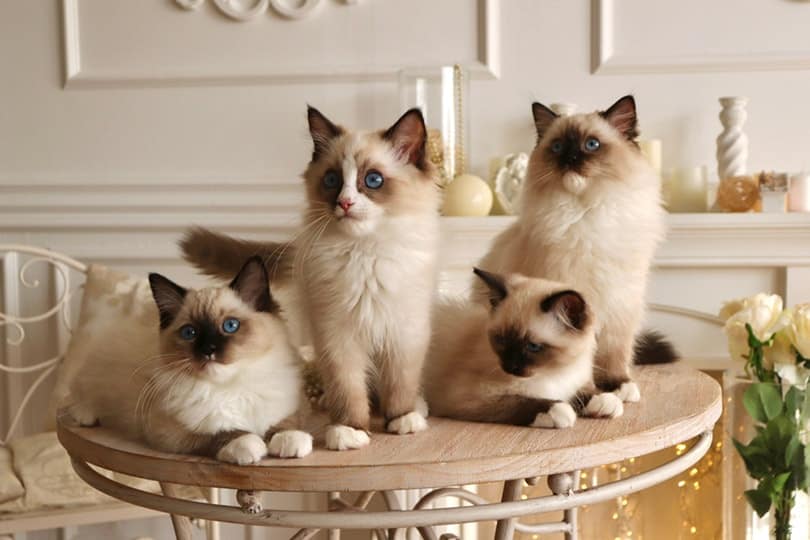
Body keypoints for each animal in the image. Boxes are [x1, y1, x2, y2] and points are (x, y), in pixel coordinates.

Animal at [61, 258, 310, 464]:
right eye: (190, 333)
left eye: (230, 326)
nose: (208, 350)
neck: (229, 388)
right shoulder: (170, 433)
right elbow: (219, 433)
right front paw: (247, 444)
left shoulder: (283, 408)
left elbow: (283, 423)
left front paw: (289, 440)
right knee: (77, 398)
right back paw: (85, 416)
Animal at [180, 107, 438, 450]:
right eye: (331, 180)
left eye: (373, 180)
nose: (344, 203)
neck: (363, 253)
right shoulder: (336, 335)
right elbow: (348, 389)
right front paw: (349, 430)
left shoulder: (404, 332)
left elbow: (400, 382)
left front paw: (402, 418)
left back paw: (416, 409)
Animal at [422, 266, 620, 426]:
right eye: (501, 340)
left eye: (532, 346)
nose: (509, 366)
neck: (553, 372)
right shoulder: (468, 396)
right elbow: (521, 402)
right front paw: (560, 411)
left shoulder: (576, 383)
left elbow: (586, 393)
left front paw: (606, 401)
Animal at [470, 96, 672, 400]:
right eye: (557, 147)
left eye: (592, 144)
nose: (570, 159)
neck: (587, 213)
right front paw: (591, 393)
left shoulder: (620, 306)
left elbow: (614, 353)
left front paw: (618, 385)